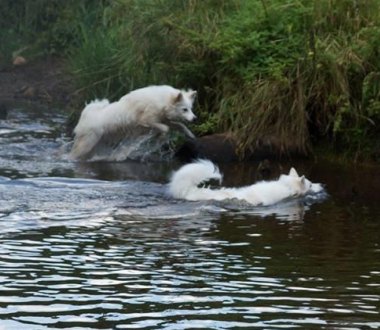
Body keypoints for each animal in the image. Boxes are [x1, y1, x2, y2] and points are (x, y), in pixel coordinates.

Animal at [69, 85, 197, 160]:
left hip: (98, 144)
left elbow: (180, 125)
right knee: (74, 154)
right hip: (87, 144)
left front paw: (191, 135)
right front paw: (160, 137)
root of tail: (87, 115)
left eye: (191, 109)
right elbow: (165, 128)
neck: (162, 102)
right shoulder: (147, 119)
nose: (195, 118)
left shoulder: (163, 119)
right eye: (184, 109)